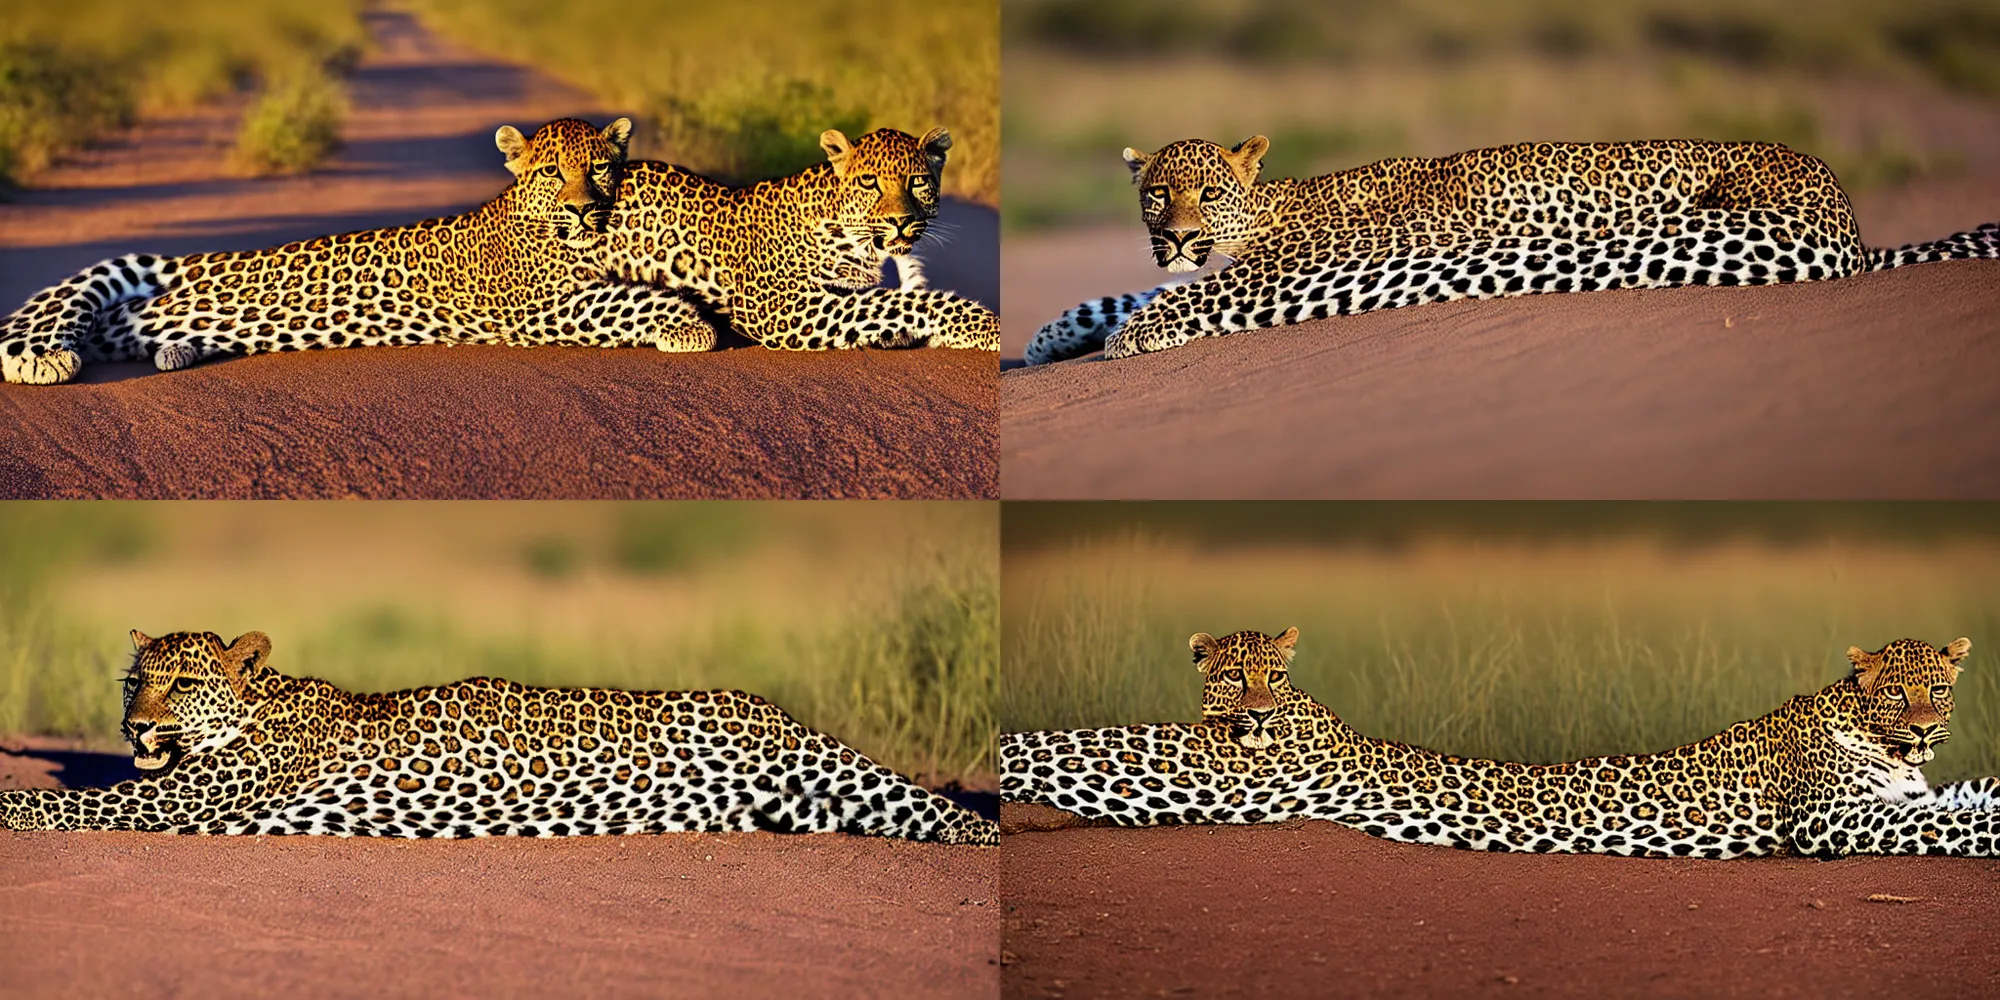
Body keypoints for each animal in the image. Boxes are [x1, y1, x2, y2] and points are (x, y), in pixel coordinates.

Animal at [0, 116, 732, 382]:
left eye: (601, 168)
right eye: (553, 172)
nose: (582, 208)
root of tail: (190, 261)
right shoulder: (538, 309)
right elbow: (625, 301)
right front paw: (689, 323)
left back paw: (173, 354)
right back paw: (48, 357)